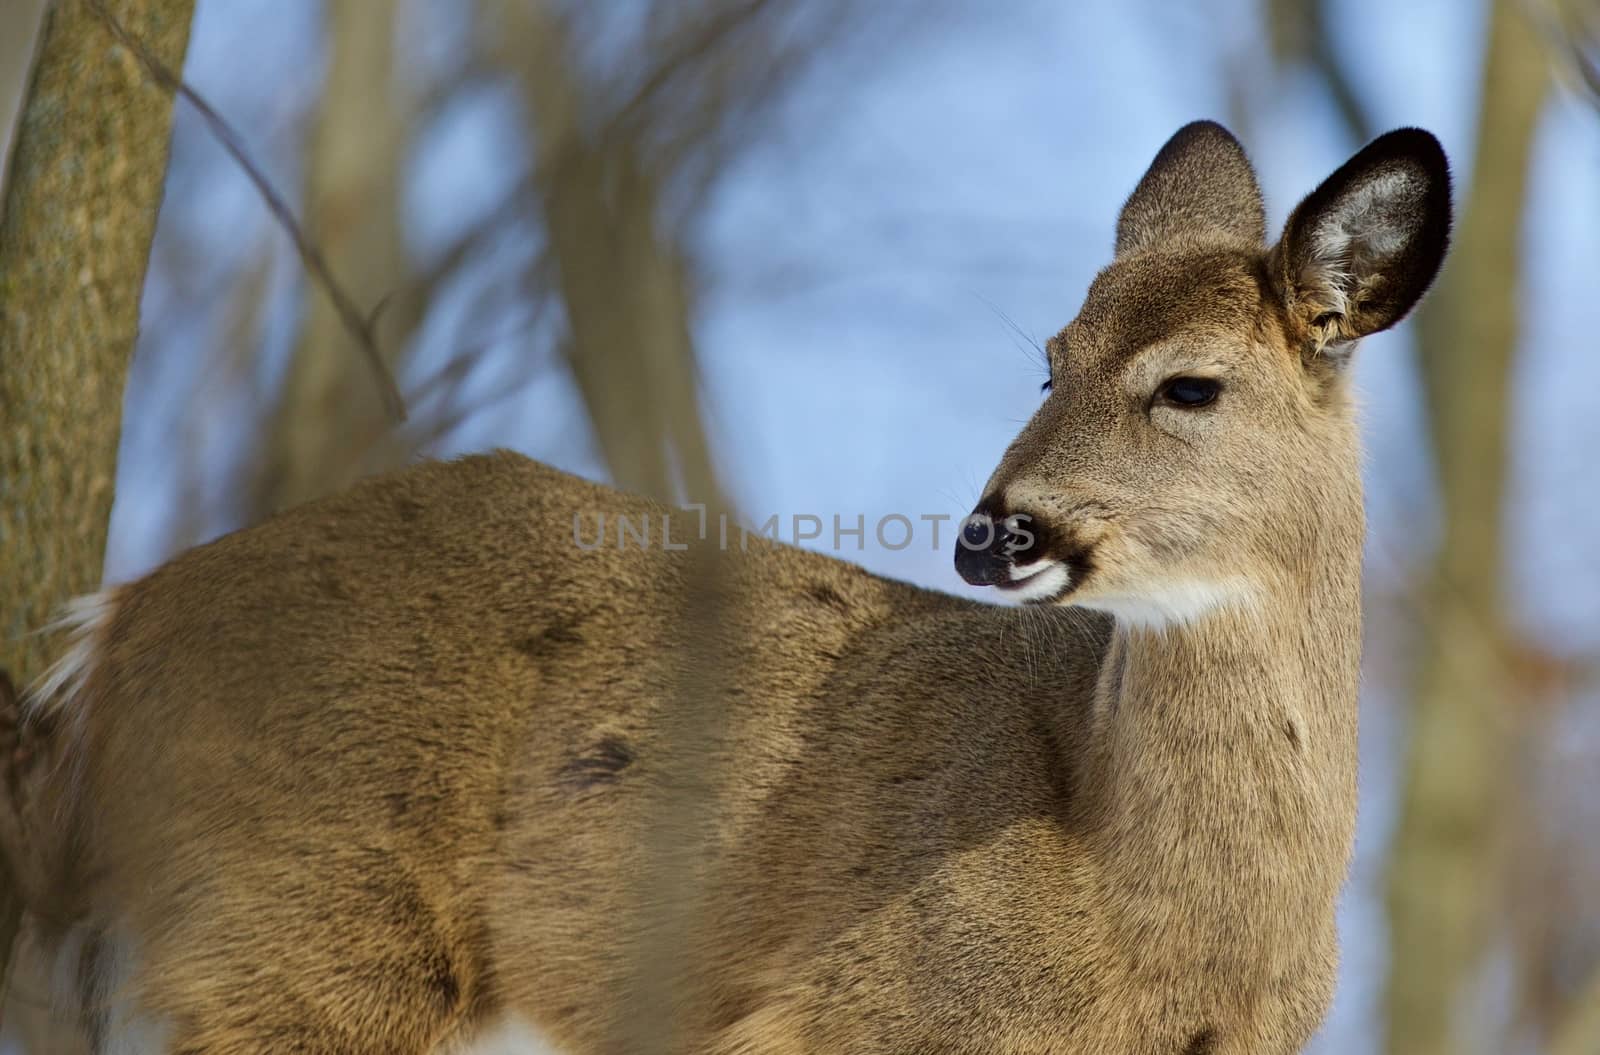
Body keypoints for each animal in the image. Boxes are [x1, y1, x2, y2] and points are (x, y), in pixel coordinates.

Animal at [0, 120, 1452, 1050]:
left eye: (1189, 384)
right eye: (1051, 357)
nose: (994, 534)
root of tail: (114, 629)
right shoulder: (852, 1012)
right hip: (301, 936)